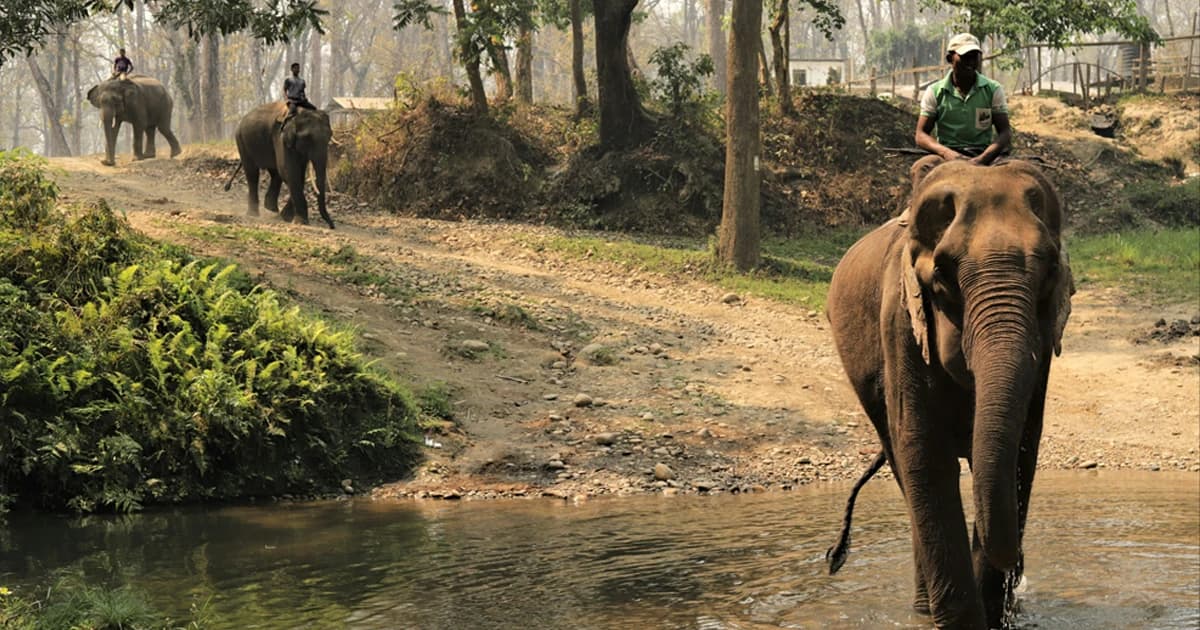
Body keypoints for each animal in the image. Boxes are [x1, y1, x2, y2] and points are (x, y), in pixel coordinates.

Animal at [823, 159, 1074, 629]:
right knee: (903, 466)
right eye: (941, 275)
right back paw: (923, 608)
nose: (1018, 568)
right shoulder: (901, 324)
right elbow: (926, 456)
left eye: (1051, 270)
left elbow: (1020, 454)